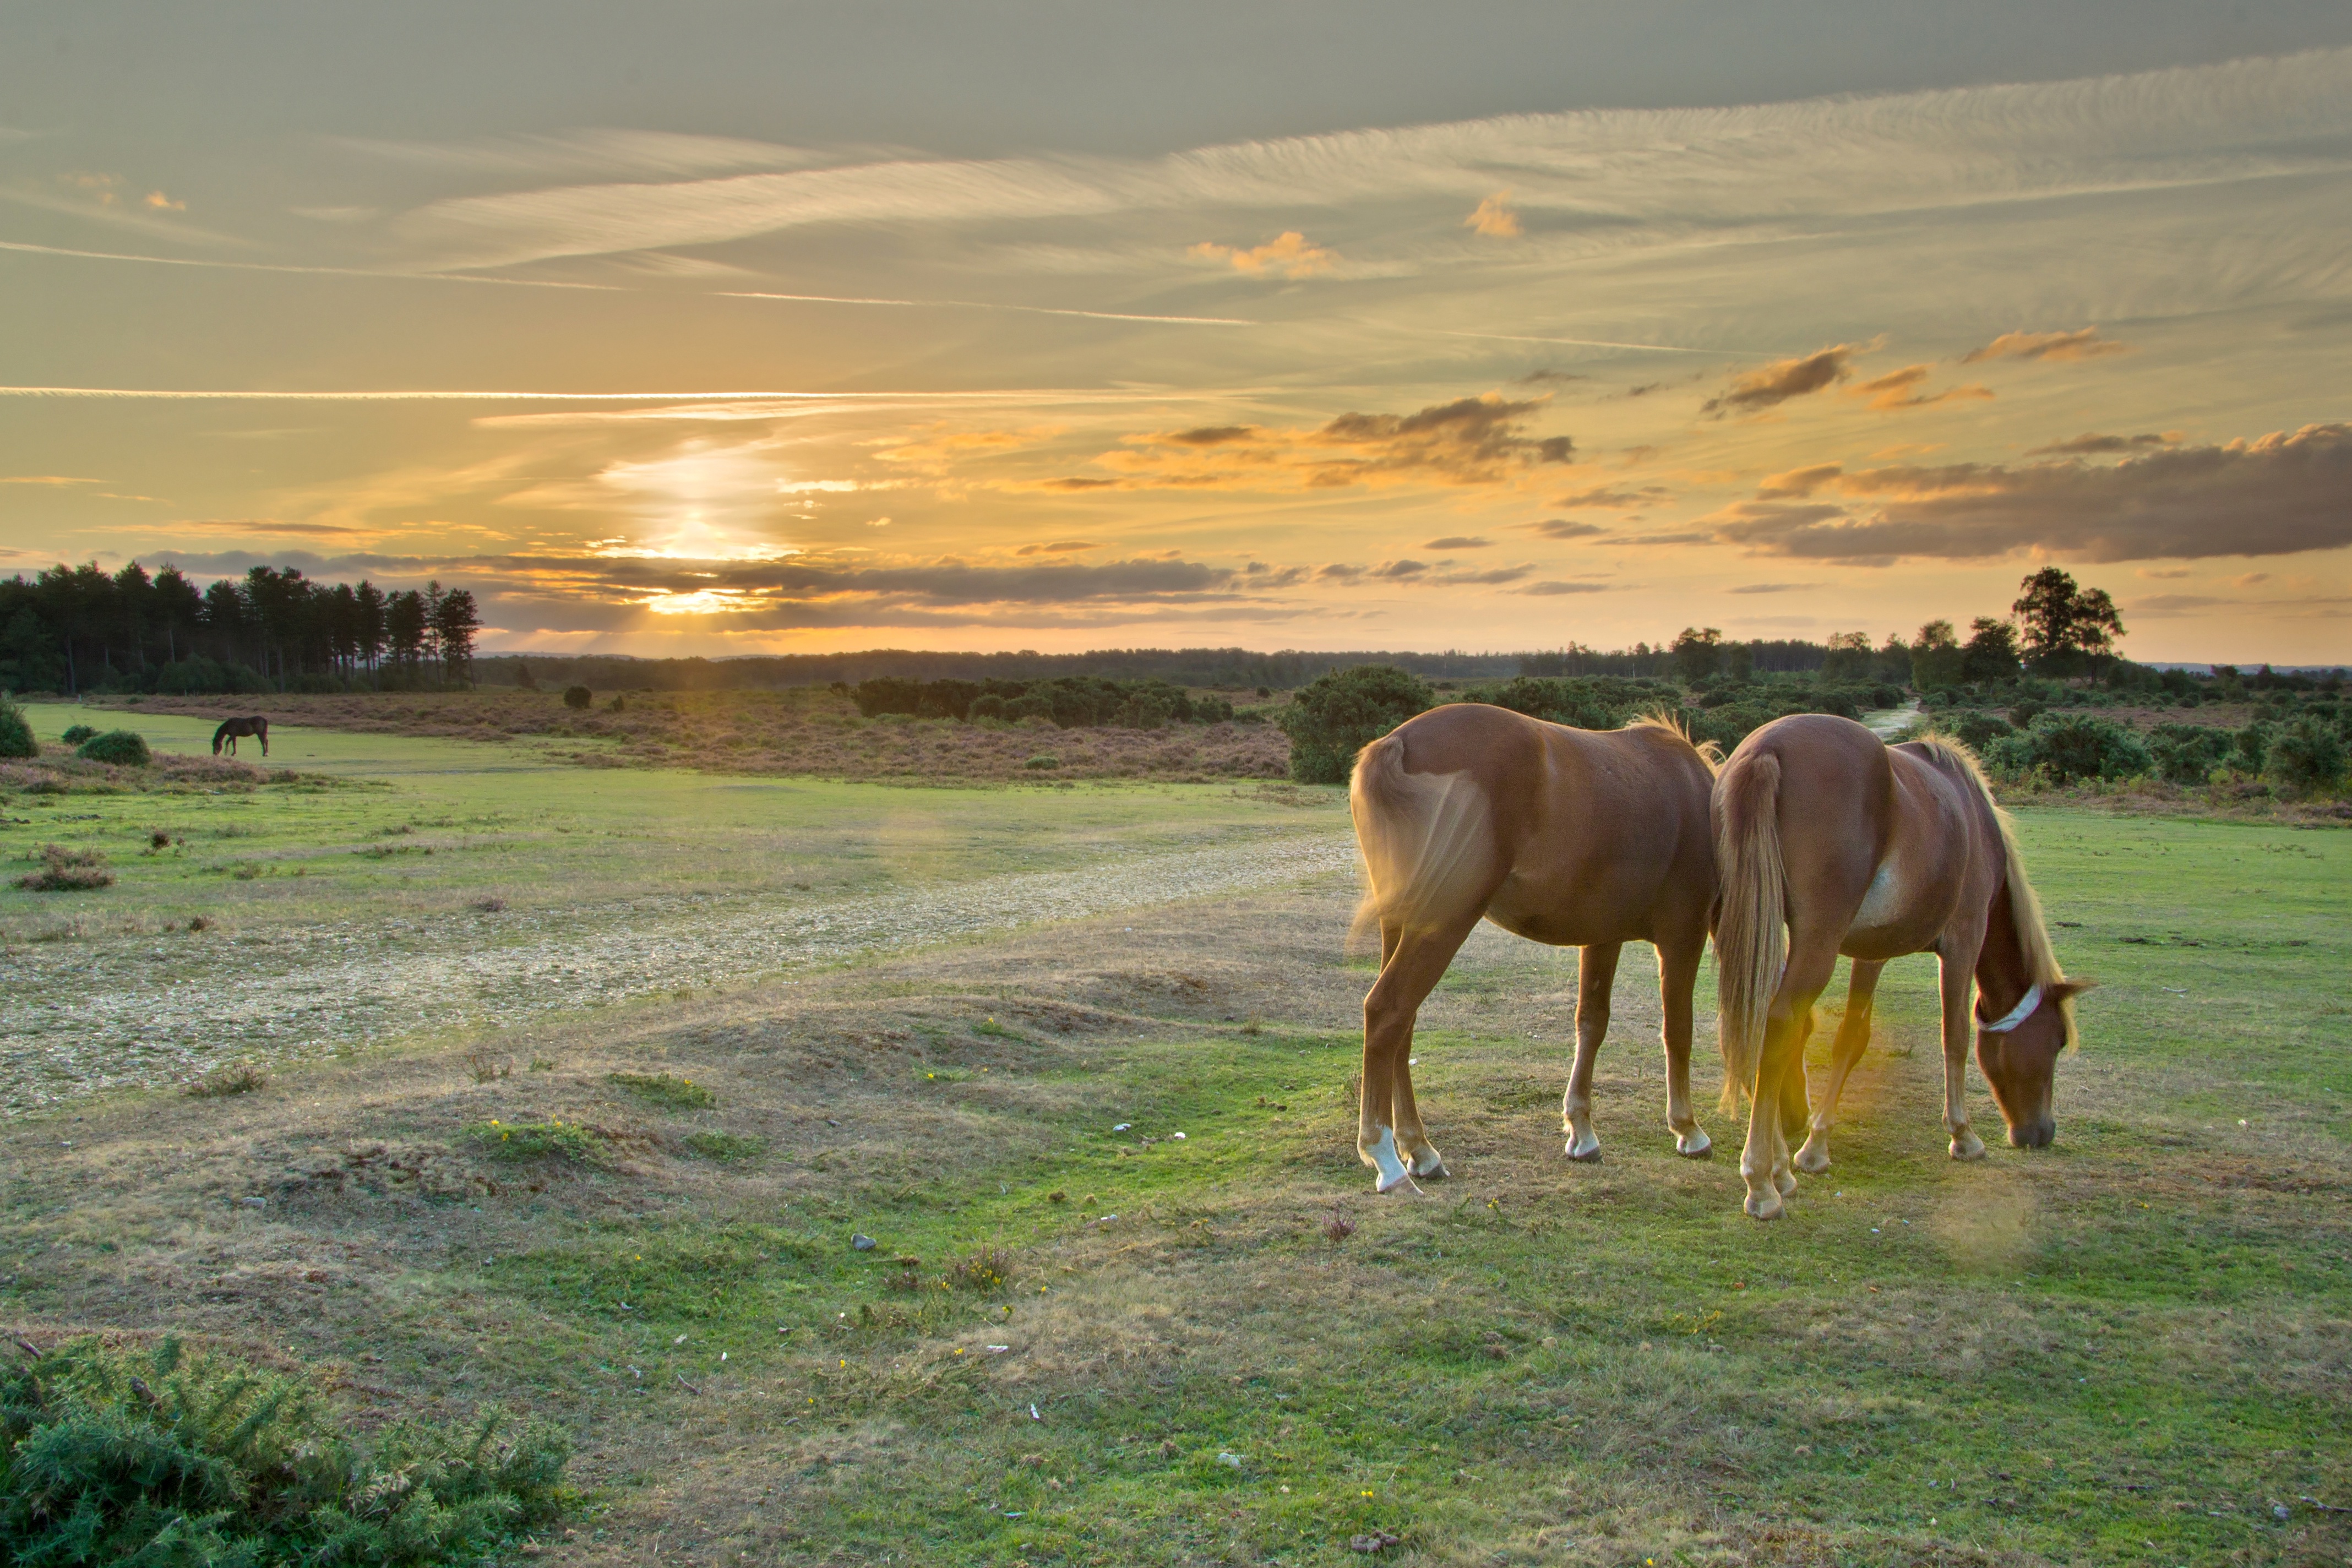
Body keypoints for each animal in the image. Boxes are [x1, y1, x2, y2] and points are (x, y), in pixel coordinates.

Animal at [1354, 705, 1722, 1194]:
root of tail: (1398, 744)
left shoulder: (1604, 936)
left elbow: (1592, 1023)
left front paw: (1582, 1132)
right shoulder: (1684, 935)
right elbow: (1679, 1030)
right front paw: (1688, 1129)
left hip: (1401, 925)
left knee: (1402, 1026)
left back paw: (1420, 1150)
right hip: (1442, 924)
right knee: (1386, 1011)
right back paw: (1386, 1159)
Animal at [1712, 719, 2098, 1222]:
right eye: (2056, 1042)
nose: (2042, 1132)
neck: (1975, 820)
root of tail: (1766, 750)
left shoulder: (1872, 953)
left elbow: (1851, 1039)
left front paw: (1816, 1146)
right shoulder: (1964, 942)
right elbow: (1956, 1037)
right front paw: (1963, 1135)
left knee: (1754, 1023)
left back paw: (1779, 1168)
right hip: (1817, 942)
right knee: (1779, 1023)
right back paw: (1762, 1181)